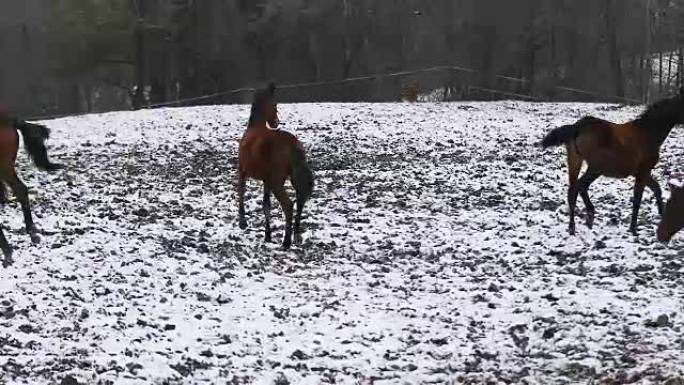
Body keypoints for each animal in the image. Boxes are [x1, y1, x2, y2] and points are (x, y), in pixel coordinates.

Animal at [238, 82, 316, 248]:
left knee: (288, 205)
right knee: (300, 202)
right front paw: (268, 235)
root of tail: (292, 143)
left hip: (277, 183)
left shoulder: (242, 171)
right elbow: (266, 206)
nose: (276, 122)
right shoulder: (266, 180)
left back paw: (286, 241)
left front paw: (242, 222)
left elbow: (241, 192)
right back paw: (296, 236)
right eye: (275, 104)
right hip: (288, 180)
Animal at [540, 89, 684, 234]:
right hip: (595, 168)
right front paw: (633, 229)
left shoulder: (641, 172)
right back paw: (580, 222)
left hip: (576, 162)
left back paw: (581, 221)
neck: (647, 133)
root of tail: (578, 126)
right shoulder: (643, 172)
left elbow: (657, 189)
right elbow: (638, 200)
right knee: (578, 188)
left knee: (574, 190)